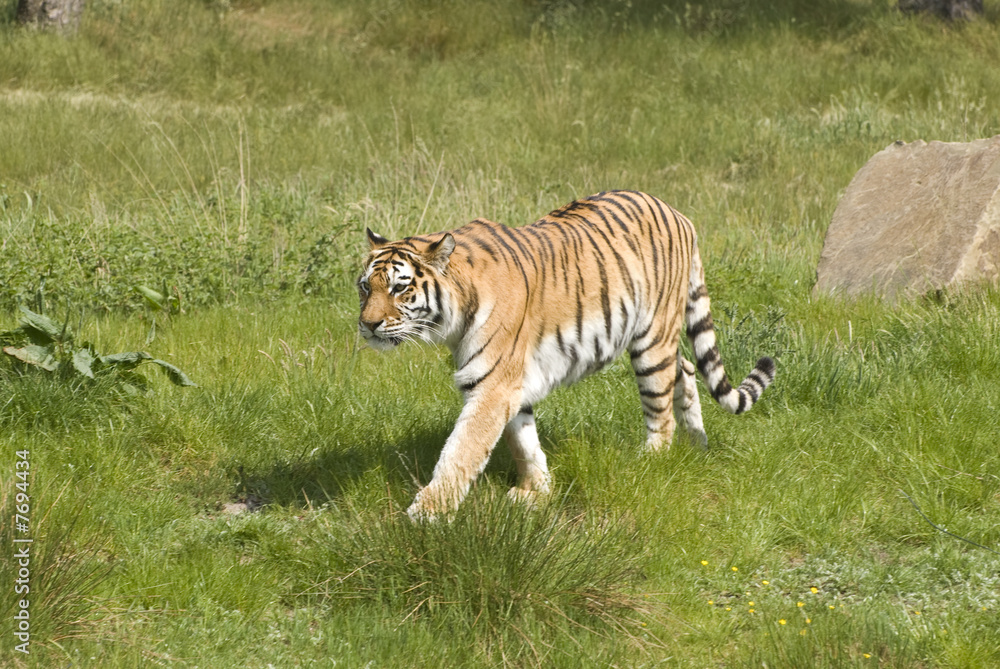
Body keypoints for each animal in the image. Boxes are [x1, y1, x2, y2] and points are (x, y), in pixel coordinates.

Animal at [357, 190, 775, 521]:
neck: (453, 318)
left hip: (652, 339)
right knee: (687, 368)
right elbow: (523, 440)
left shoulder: (493, 385)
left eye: (399, 288)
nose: (368, 324)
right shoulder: (508, 383)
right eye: (365, 287)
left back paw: (651, 462)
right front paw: (536, 491)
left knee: (662, 410)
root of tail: (678, 213)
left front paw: (426, 514)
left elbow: (461, 451)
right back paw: (698, 445)